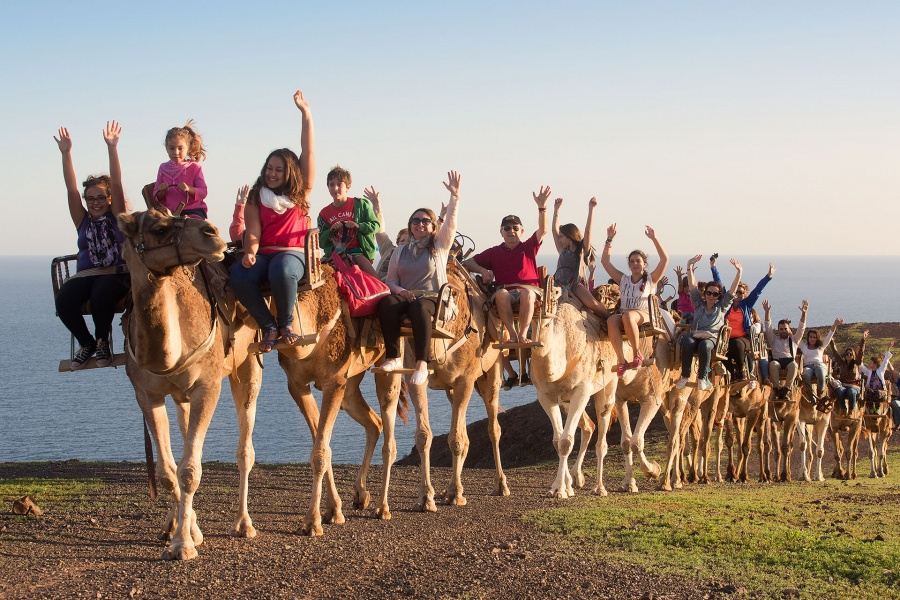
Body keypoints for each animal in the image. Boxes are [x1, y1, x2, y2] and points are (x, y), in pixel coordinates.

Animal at [118, 209, 262, 560]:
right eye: (159, 228)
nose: (212, 233)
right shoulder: (146, 393)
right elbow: (168, 473)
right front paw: (185, 531)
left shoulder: (207, 386)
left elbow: (189, 471)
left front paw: (182, 545)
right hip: (180, 395)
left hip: (247, 363)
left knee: (245, 448)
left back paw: (244, 524)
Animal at [532, 298, 624, 500]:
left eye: (547, 321)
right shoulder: (545, 395)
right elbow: (558, 441)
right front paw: (560, 486)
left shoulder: (582, 390)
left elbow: (566, 441)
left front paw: (561, 490)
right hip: (566, 402)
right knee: (589, 426)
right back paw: (576, 478)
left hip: (609, 383)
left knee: (602, 430)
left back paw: (599, 487)